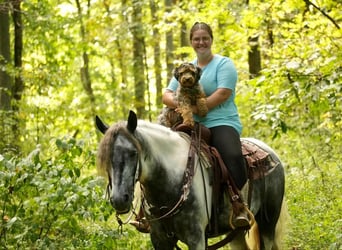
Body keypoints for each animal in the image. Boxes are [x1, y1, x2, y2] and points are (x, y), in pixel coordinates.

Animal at [95, 111, 286, 250]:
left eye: (133, 153)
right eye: (105, 157)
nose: (119, 200)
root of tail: (270, 152)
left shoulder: (196, 239)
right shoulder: (160, 240)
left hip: (267, 224)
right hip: (236, 231)